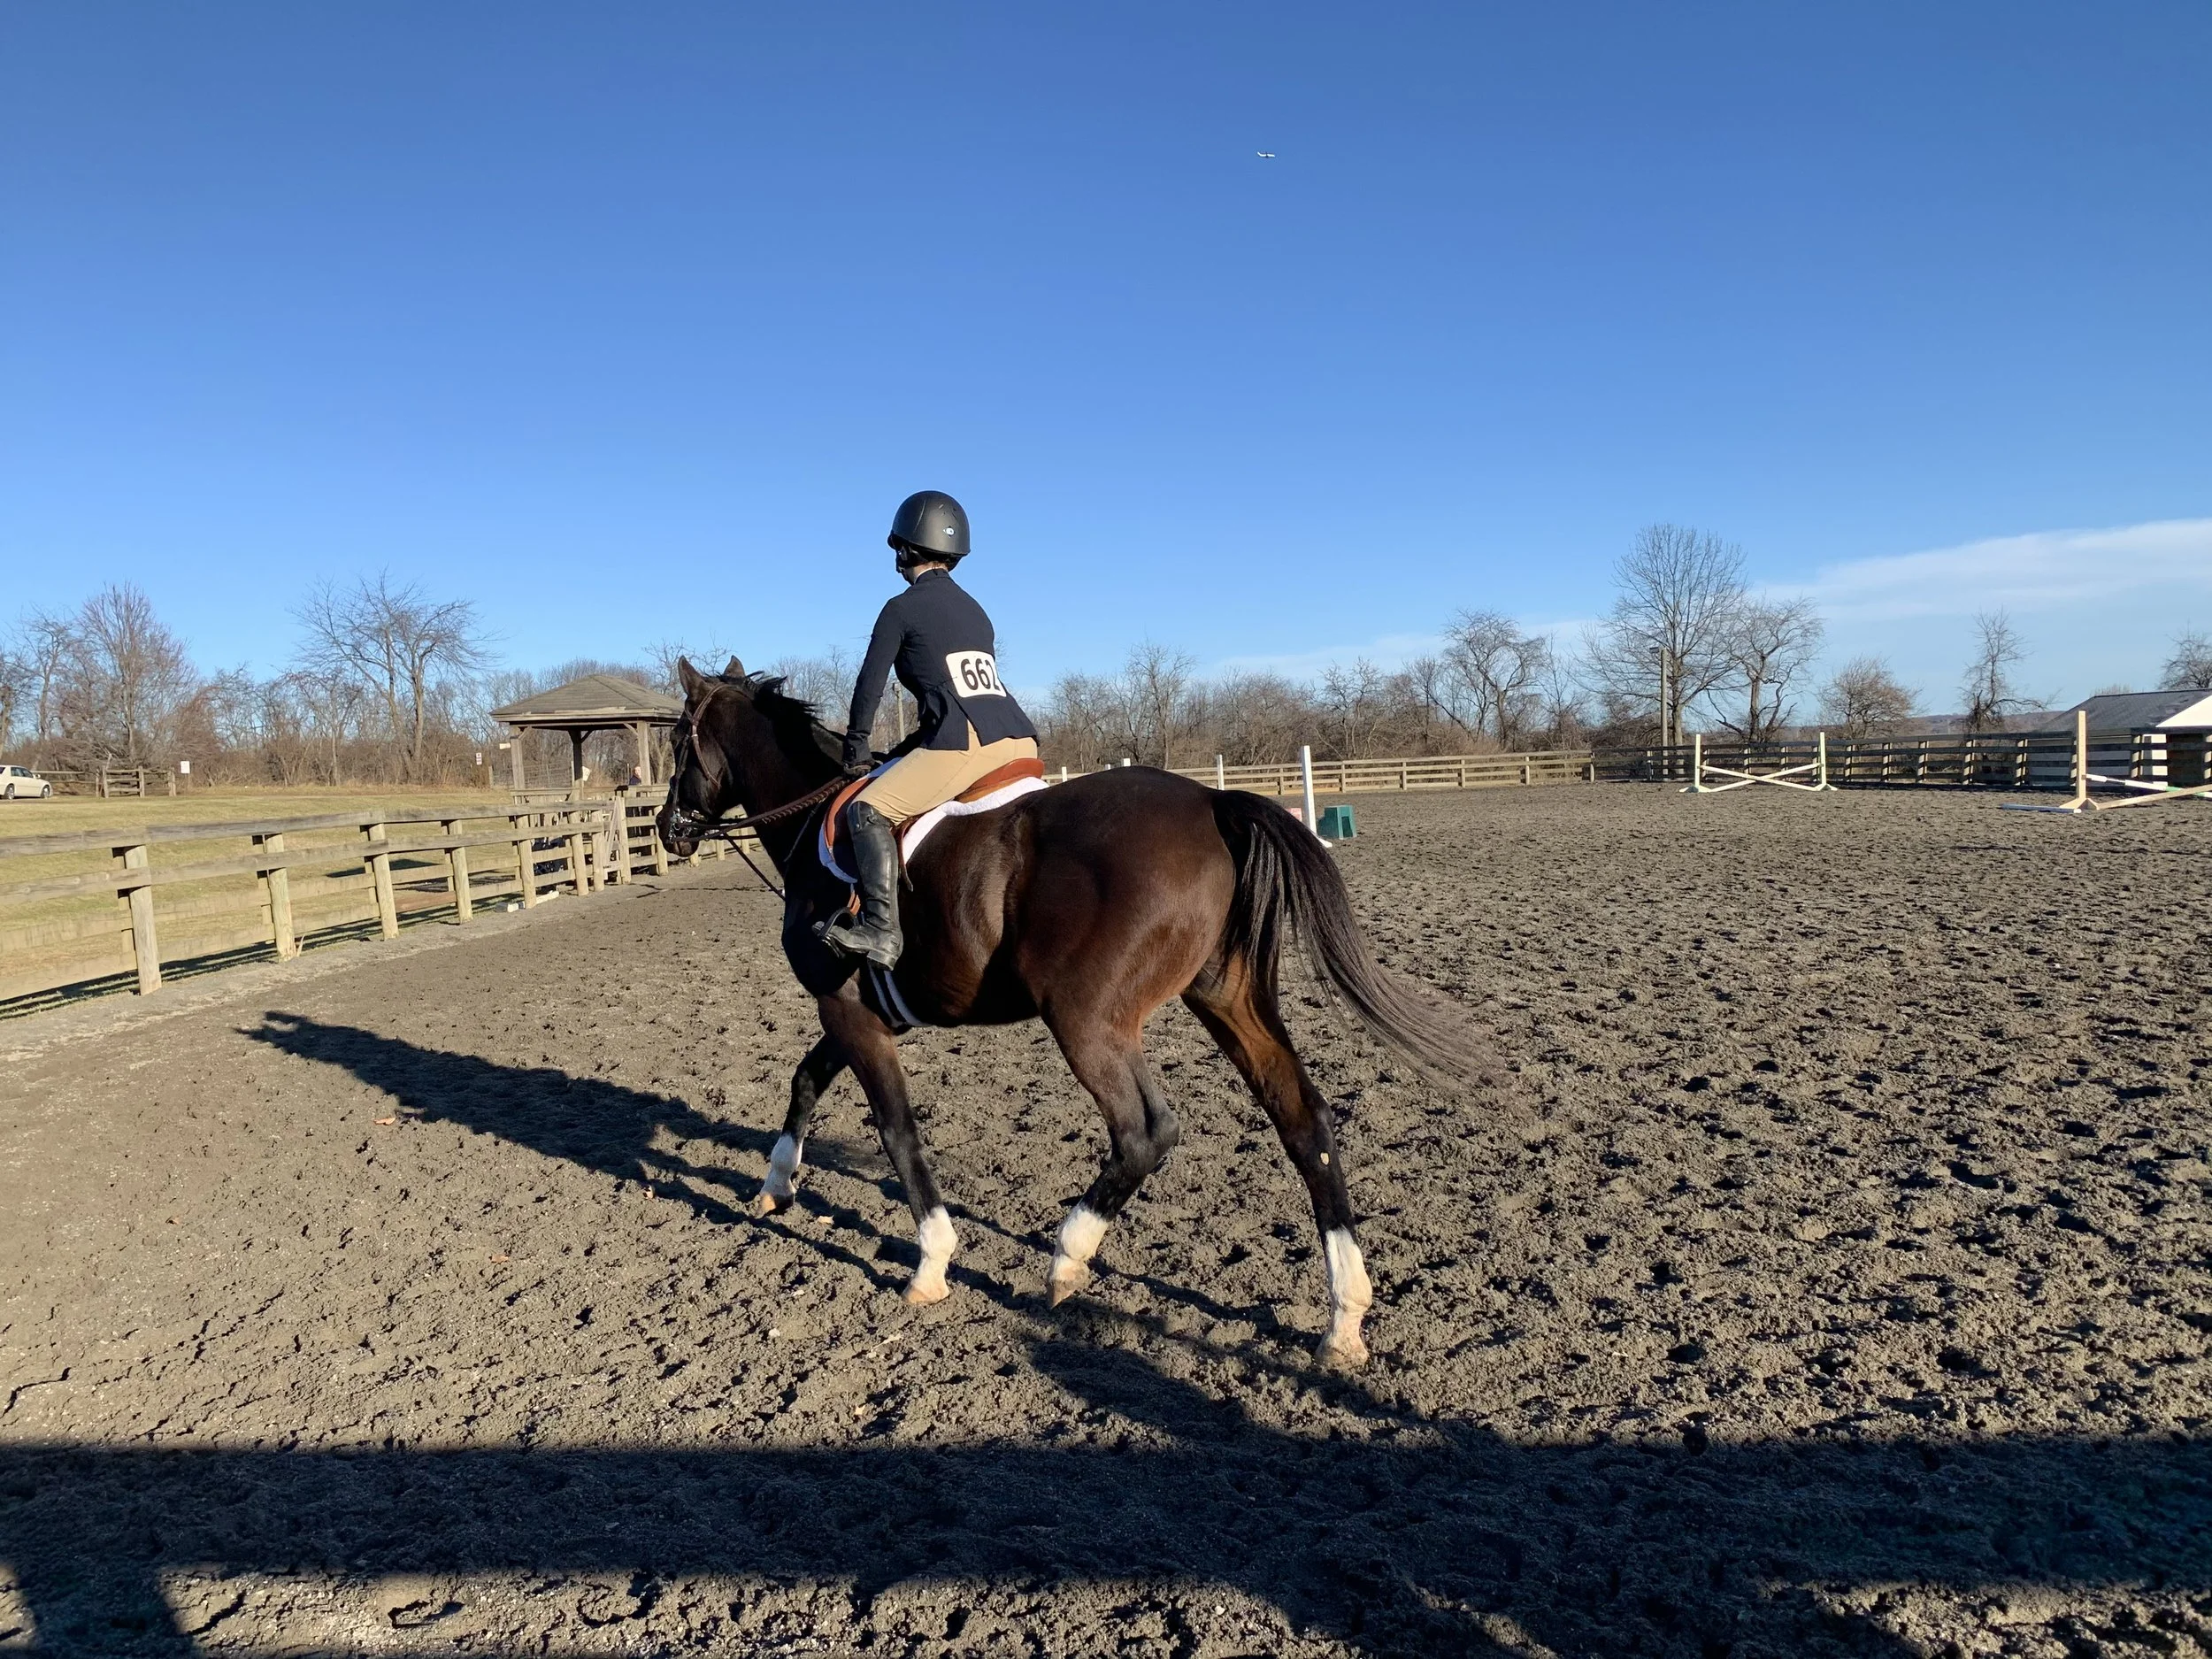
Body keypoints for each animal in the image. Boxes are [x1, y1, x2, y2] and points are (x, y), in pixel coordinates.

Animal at [656, 657, 1497, 1367]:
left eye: (674, 741)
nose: (668, 829)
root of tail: (1211, 801)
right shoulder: (863, 1014)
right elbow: (804, 1081)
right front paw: (775, 1184)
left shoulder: (851, 1013)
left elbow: (896, 1130)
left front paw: (931, 1260)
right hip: (1226, 999)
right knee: (1304, 1119)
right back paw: (1343, 1318)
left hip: (1087, 1019)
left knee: (1146, 1131)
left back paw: (1067, 1257)